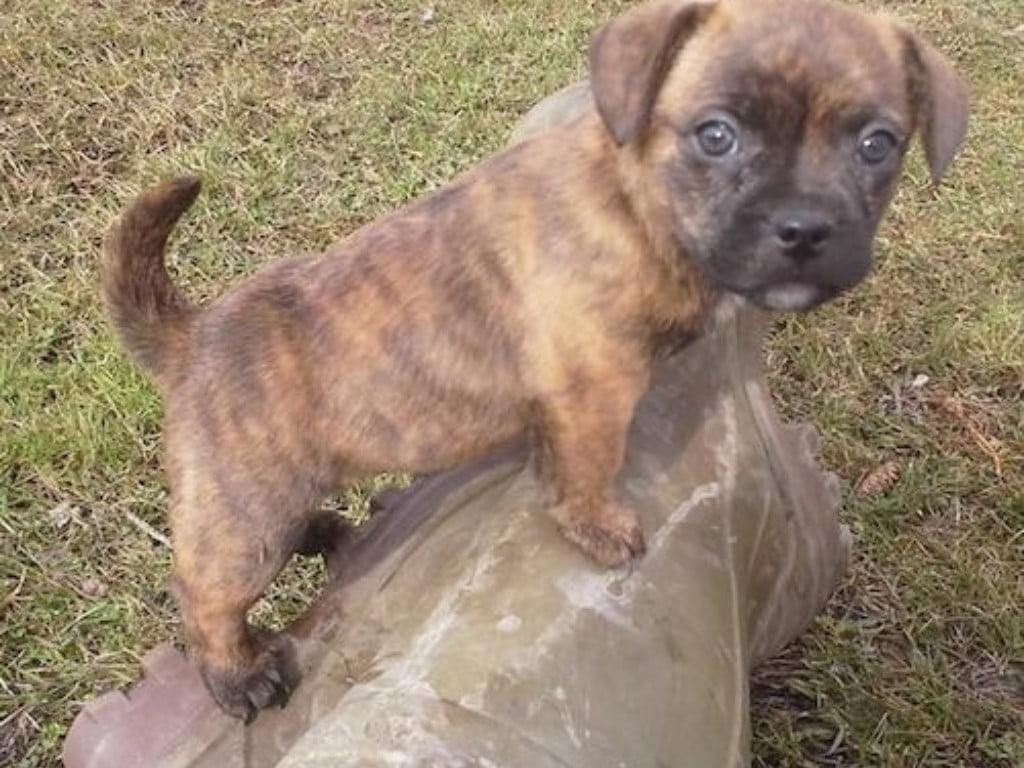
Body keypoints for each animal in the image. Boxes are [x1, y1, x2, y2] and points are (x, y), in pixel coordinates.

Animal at [101, 0, 966, 720]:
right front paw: (597, 527)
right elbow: (587, 470)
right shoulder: (594, 390)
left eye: (877, 146)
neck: (634, 201)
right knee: (205, 592)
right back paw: (237, 675)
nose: (804, 229)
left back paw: (326, 532)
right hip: (247, 519)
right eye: (716, 135)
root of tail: (193, 334)